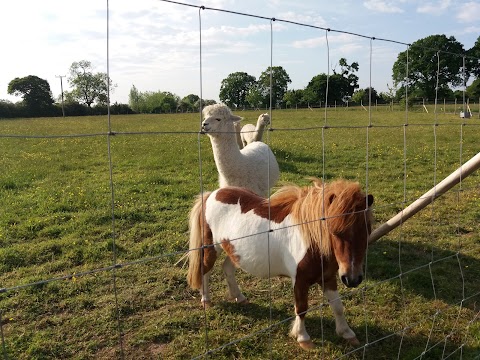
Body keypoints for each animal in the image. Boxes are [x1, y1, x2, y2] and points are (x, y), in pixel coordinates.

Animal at [186, 179, 374, 350]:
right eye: (334, 231)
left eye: (367, 229)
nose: (352, 279)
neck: (310, 239)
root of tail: (211, 194)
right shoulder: (300, 281)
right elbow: (301, 308)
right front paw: (303, 338)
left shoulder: (328, 277)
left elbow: (337, 306)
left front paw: (347, 333)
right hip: (211, 248)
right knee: (205, 270)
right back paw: (206, 300)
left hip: (234, 251)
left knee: (227, 268)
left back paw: (240, 297)